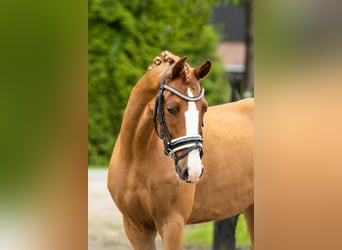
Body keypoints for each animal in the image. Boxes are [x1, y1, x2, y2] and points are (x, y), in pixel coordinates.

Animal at [107, 51, 254, 250]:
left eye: (204, 108)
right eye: (170, 109)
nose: (193, 171)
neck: (136, 156)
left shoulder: (172, 224)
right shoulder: (136, 228)